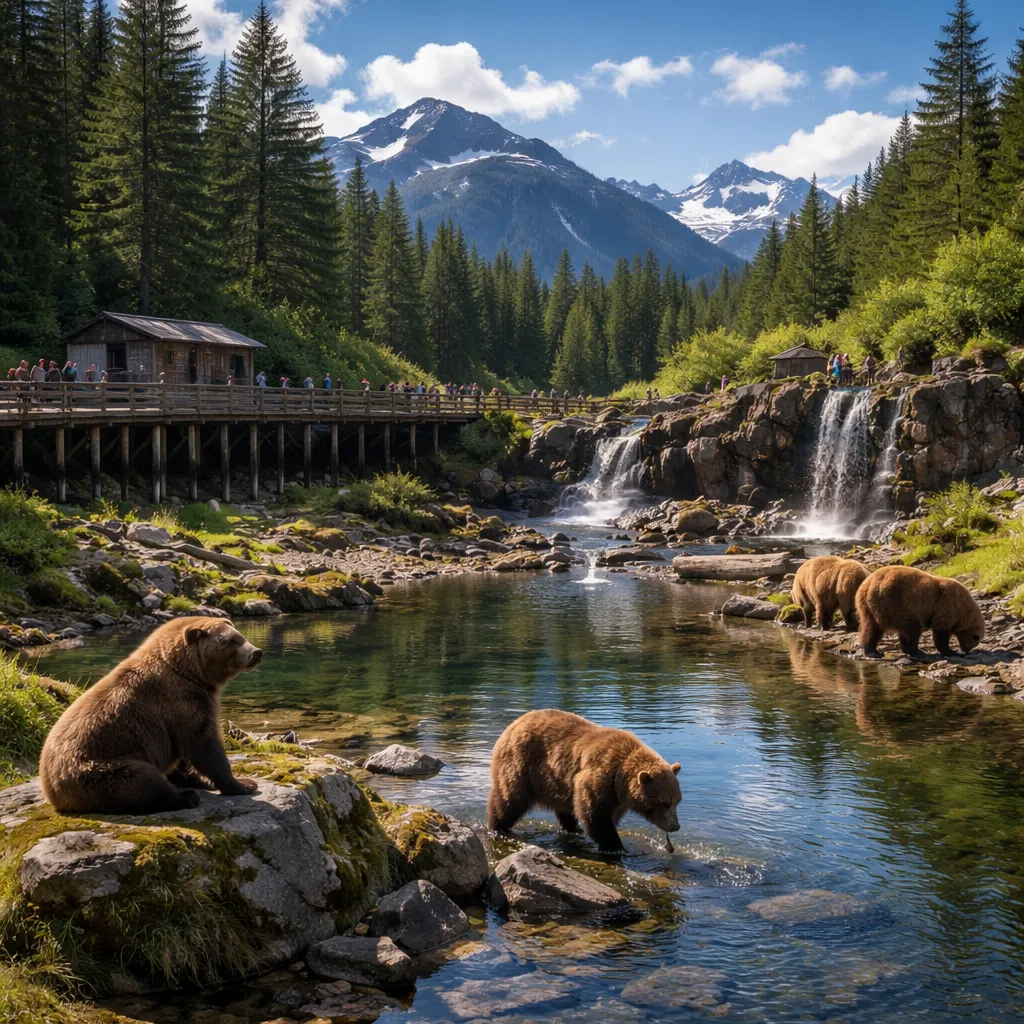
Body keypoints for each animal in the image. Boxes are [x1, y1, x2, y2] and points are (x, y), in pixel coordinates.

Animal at [40, 617, 263, 815]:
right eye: (231, 640)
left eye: (239, 635)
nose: (256, 652)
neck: (190, 672)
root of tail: (51, 790)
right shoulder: (181, 702)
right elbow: (204, 745)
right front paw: (244, 784)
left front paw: (200, 780)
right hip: (96, 771)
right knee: (141, 780)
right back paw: (186, 798)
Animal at [487, 709, 681, 853]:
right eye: (664, 802)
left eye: (677, 801)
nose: (675, 826)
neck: (621, 779)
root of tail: (511, 726)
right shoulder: (600, 778)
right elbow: (595, 815)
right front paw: (616, 847)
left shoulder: (616, 797)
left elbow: (609, 816)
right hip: (522, 766)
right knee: (510, 799)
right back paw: (498, 826)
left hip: (558, 784)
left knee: (564, 809)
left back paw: (574, 829)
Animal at [854, 564, 986, 660]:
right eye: (975, 640)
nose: (965, 650)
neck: (964, 612)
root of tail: (875, 585)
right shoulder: (947, 607)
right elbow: (941, 633)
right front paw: (951, 651)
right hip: (897, 603)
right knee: (911, 629)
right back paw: (918, 652)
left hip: (867, 605)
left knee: (872, 628)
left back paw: (873, 651)